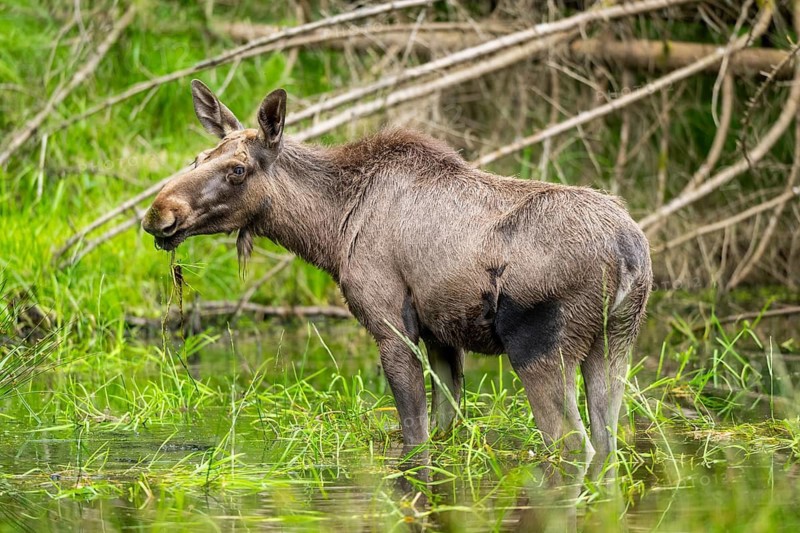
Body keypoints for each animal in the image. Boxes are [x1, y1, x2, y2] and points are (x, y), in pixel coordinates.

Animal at [142, 80, 652, 462]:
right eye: (196, 159)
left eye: (237, 170)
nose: (158, 214)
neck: (329, 229)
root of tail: (630, 254)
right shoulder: (443, 336)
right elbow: (446, 428)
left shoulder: (392, 325)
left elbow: (413, 438)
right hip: (615, 343)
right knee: (608, 442)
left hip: (539, 346)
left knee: (574, 448)